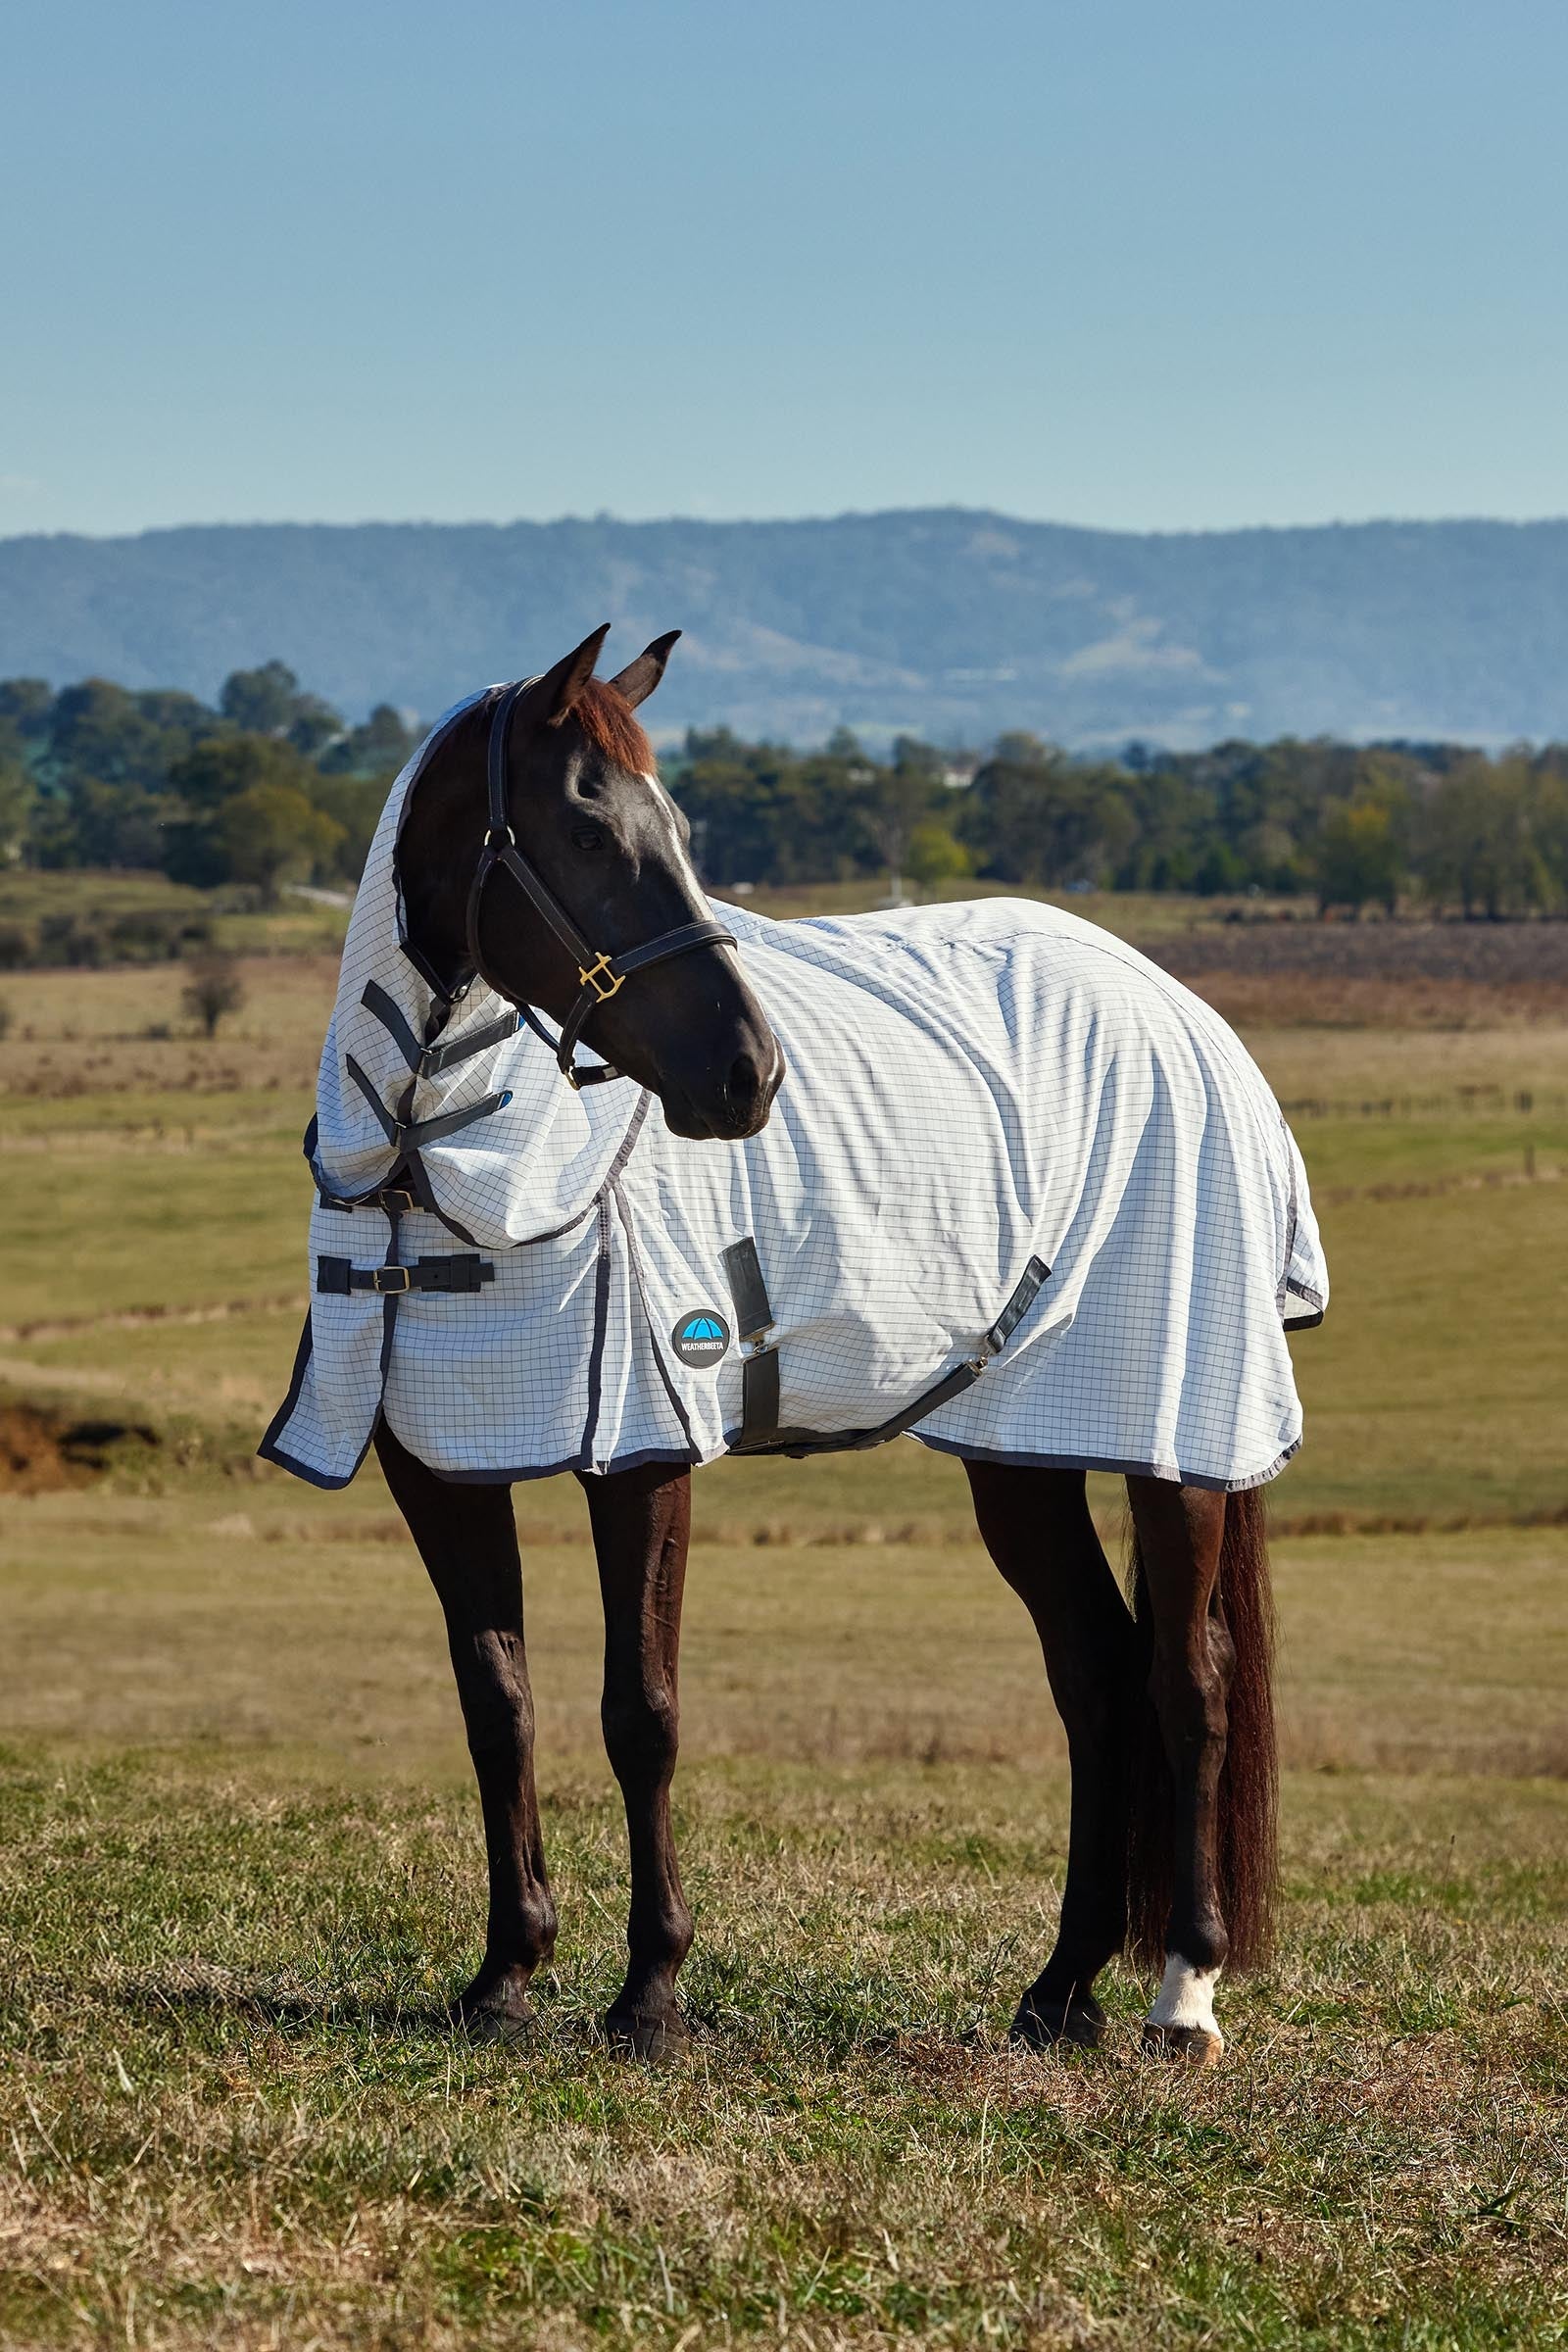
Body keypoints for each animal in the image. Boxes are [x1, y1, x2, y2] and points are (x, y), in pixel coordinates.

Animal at [265, 624, 1324, 2066]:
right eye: (587, 832)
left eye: (678, 829)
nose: (749, 1075)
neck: (439, 1157)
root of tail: (1182, 1013)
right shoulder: (438, 1459)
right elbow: (499, 1701)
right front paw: (504, 1974)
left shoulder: (641, 1455)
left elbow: (640, 1713)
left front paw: (650, 1990)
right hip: (1022, 1447)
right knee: (1098, 1674)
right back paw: (1059, 1990)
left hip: (1173, 1437)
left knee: (1190, 1681)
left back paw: (1183, 1996)